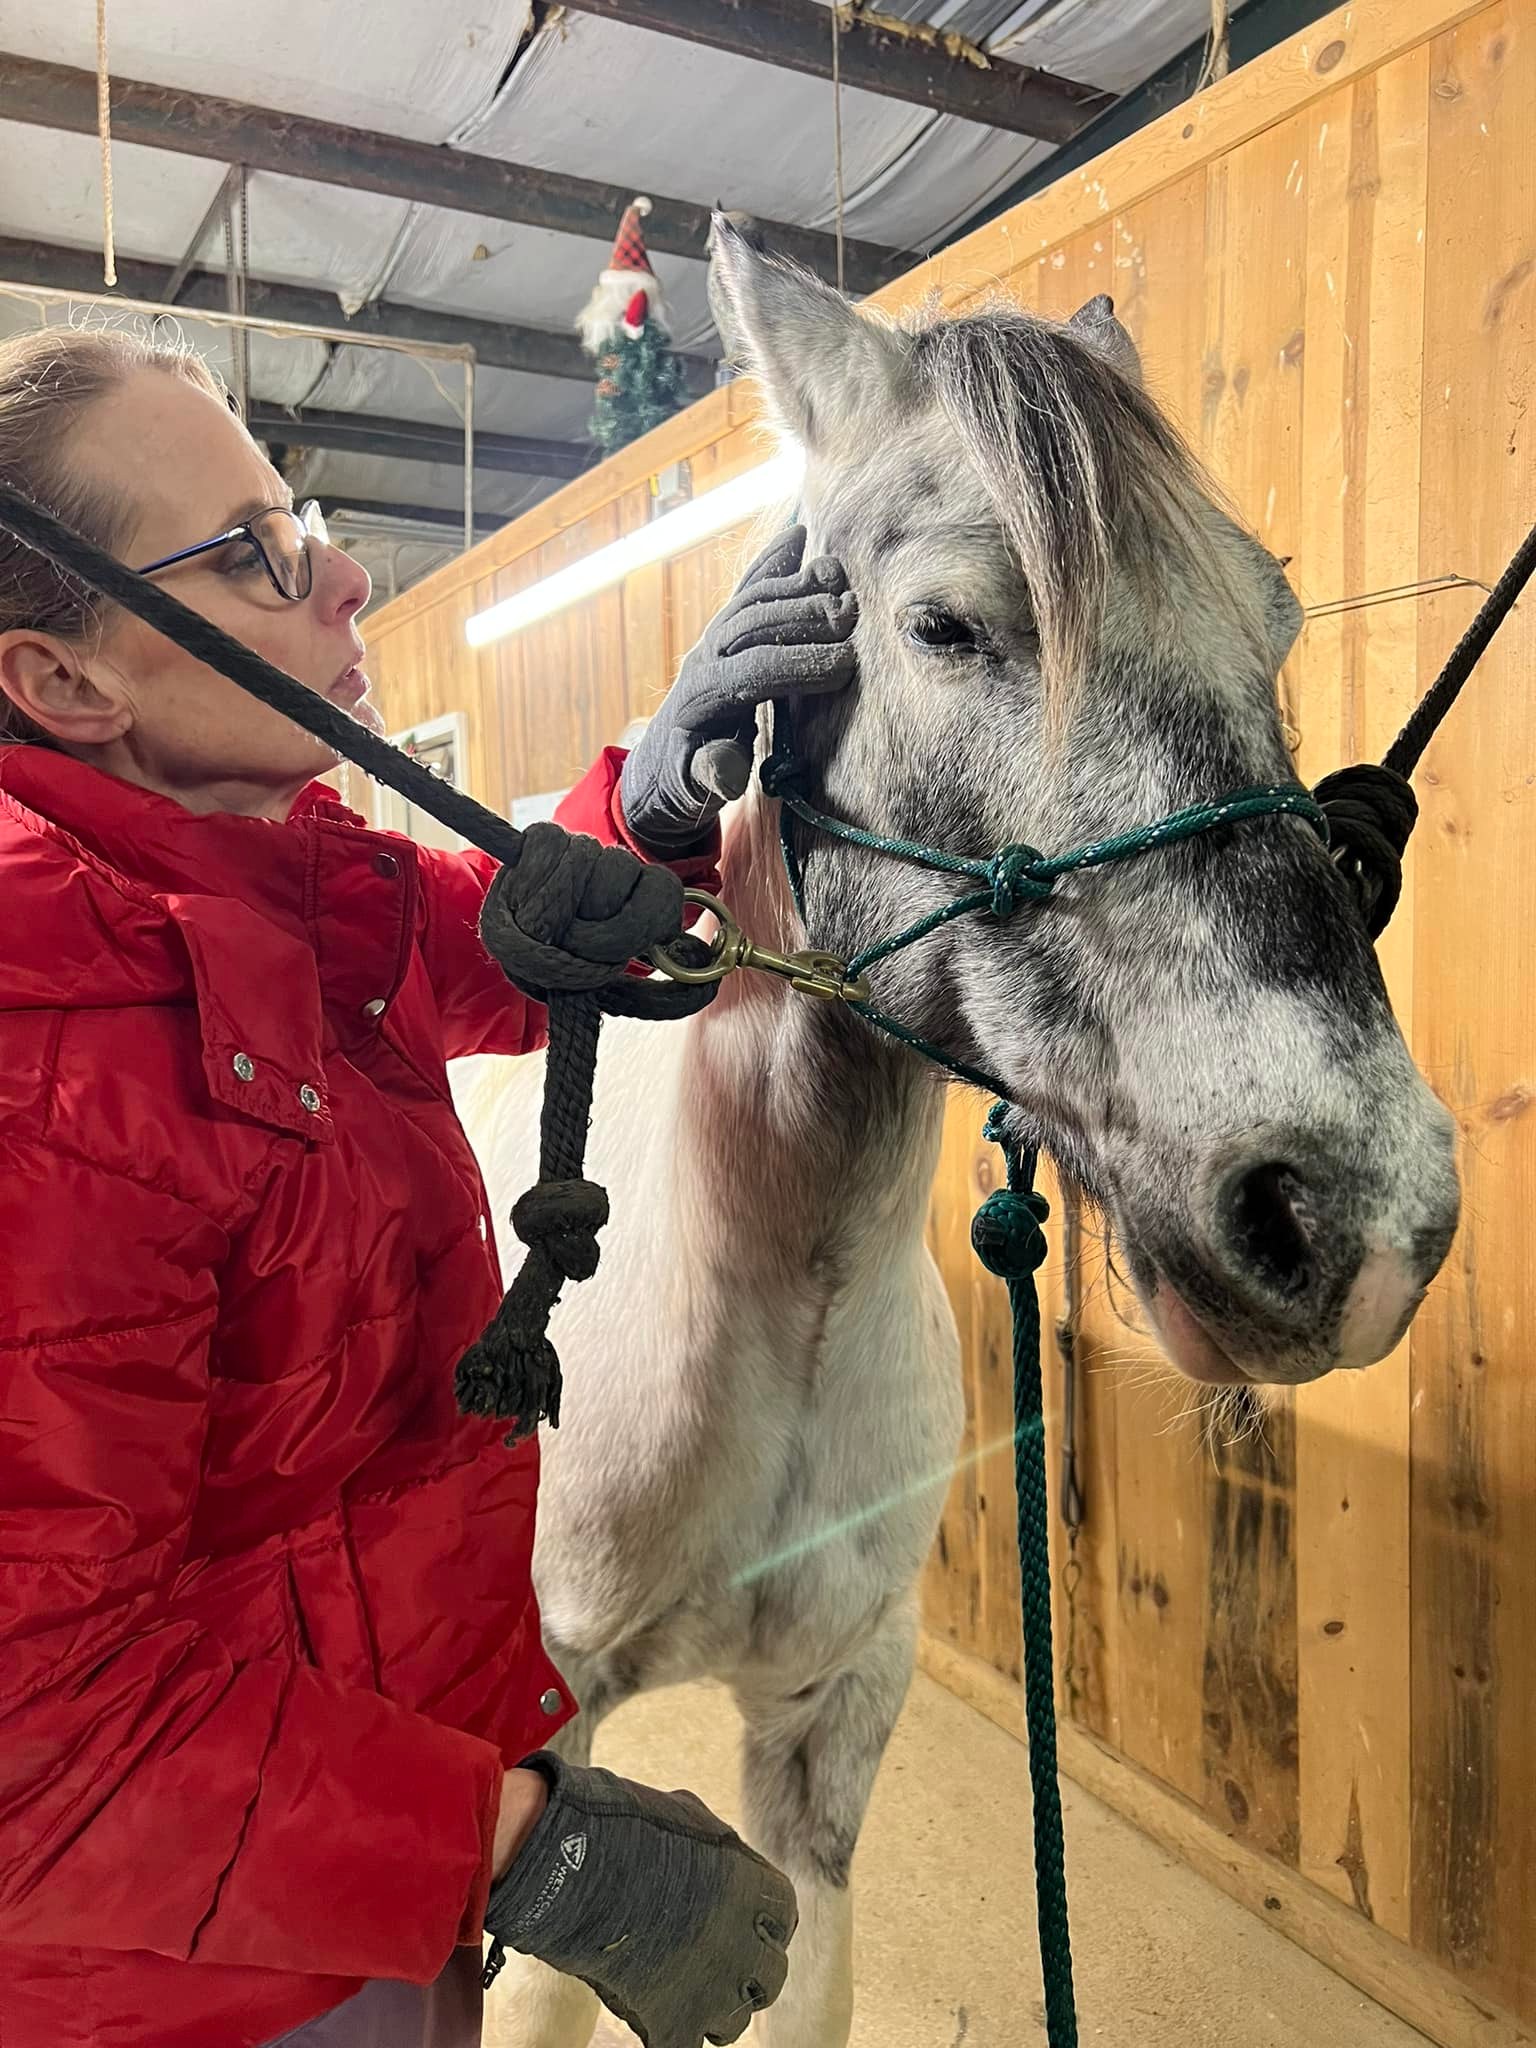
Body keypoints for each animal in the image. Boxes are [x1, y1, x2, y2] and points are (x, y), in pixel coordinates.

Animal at [453, 218, 1460, 2047]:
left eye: (1275, 619)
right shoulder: (551, 1716)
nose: (1355, 1215)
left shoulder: (835, 1726)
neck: (768, 1312)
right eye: (942, 625)